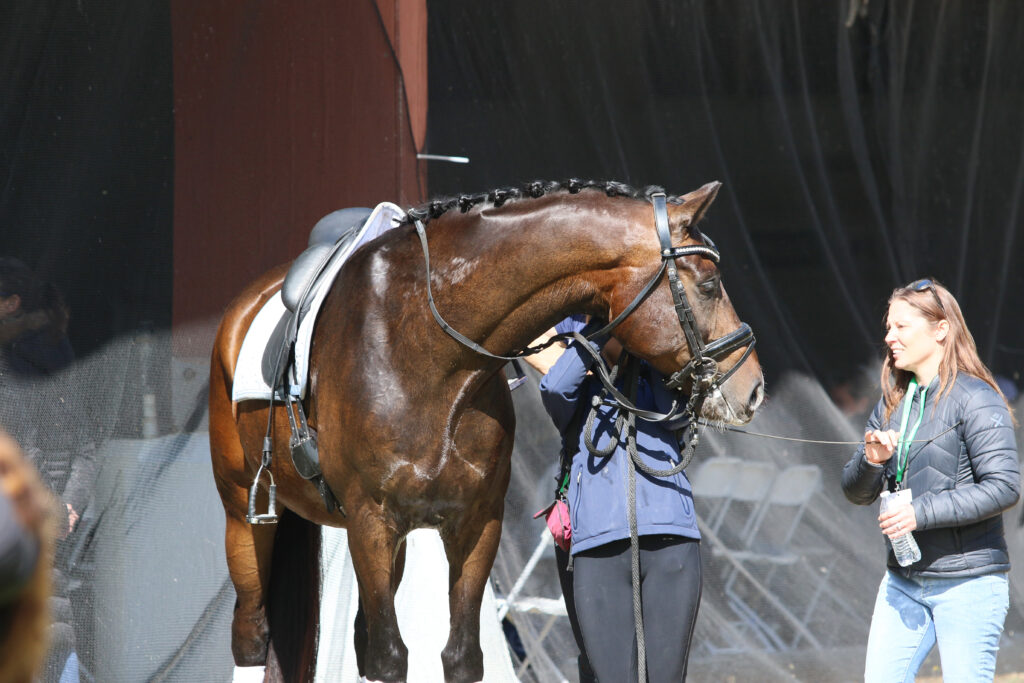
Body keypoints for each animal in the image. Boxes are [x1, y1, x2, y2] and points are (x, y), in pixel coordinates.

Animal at [208, 179, 765, 683]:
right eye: (709, 284)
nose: (754, 389)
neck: (429, 352)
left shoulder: (476, 525)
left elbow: (459, 657)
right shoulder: (371, 523)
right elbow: (390, 659)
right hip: (245, 518)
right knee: (251, 635)